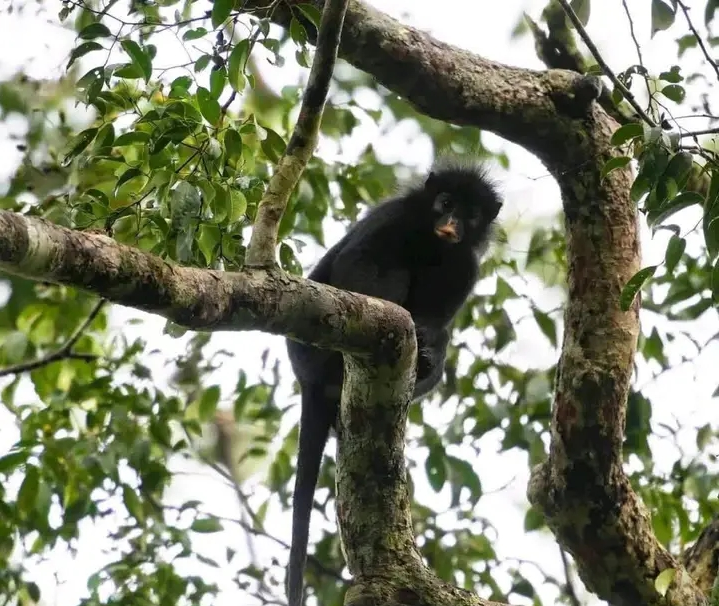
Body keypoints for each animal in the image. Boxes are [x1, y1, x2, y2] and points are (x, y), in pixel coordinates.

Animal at [284, 158, 502, 606]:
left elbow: (445, 305)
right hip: (312, 353)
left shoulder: (465, 261)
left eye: (470, 214)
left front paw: (429, 344)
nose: (451, 223)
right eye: (445, 202)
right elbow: (359, 261)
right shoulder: (393, 217)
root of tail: (308, 380)